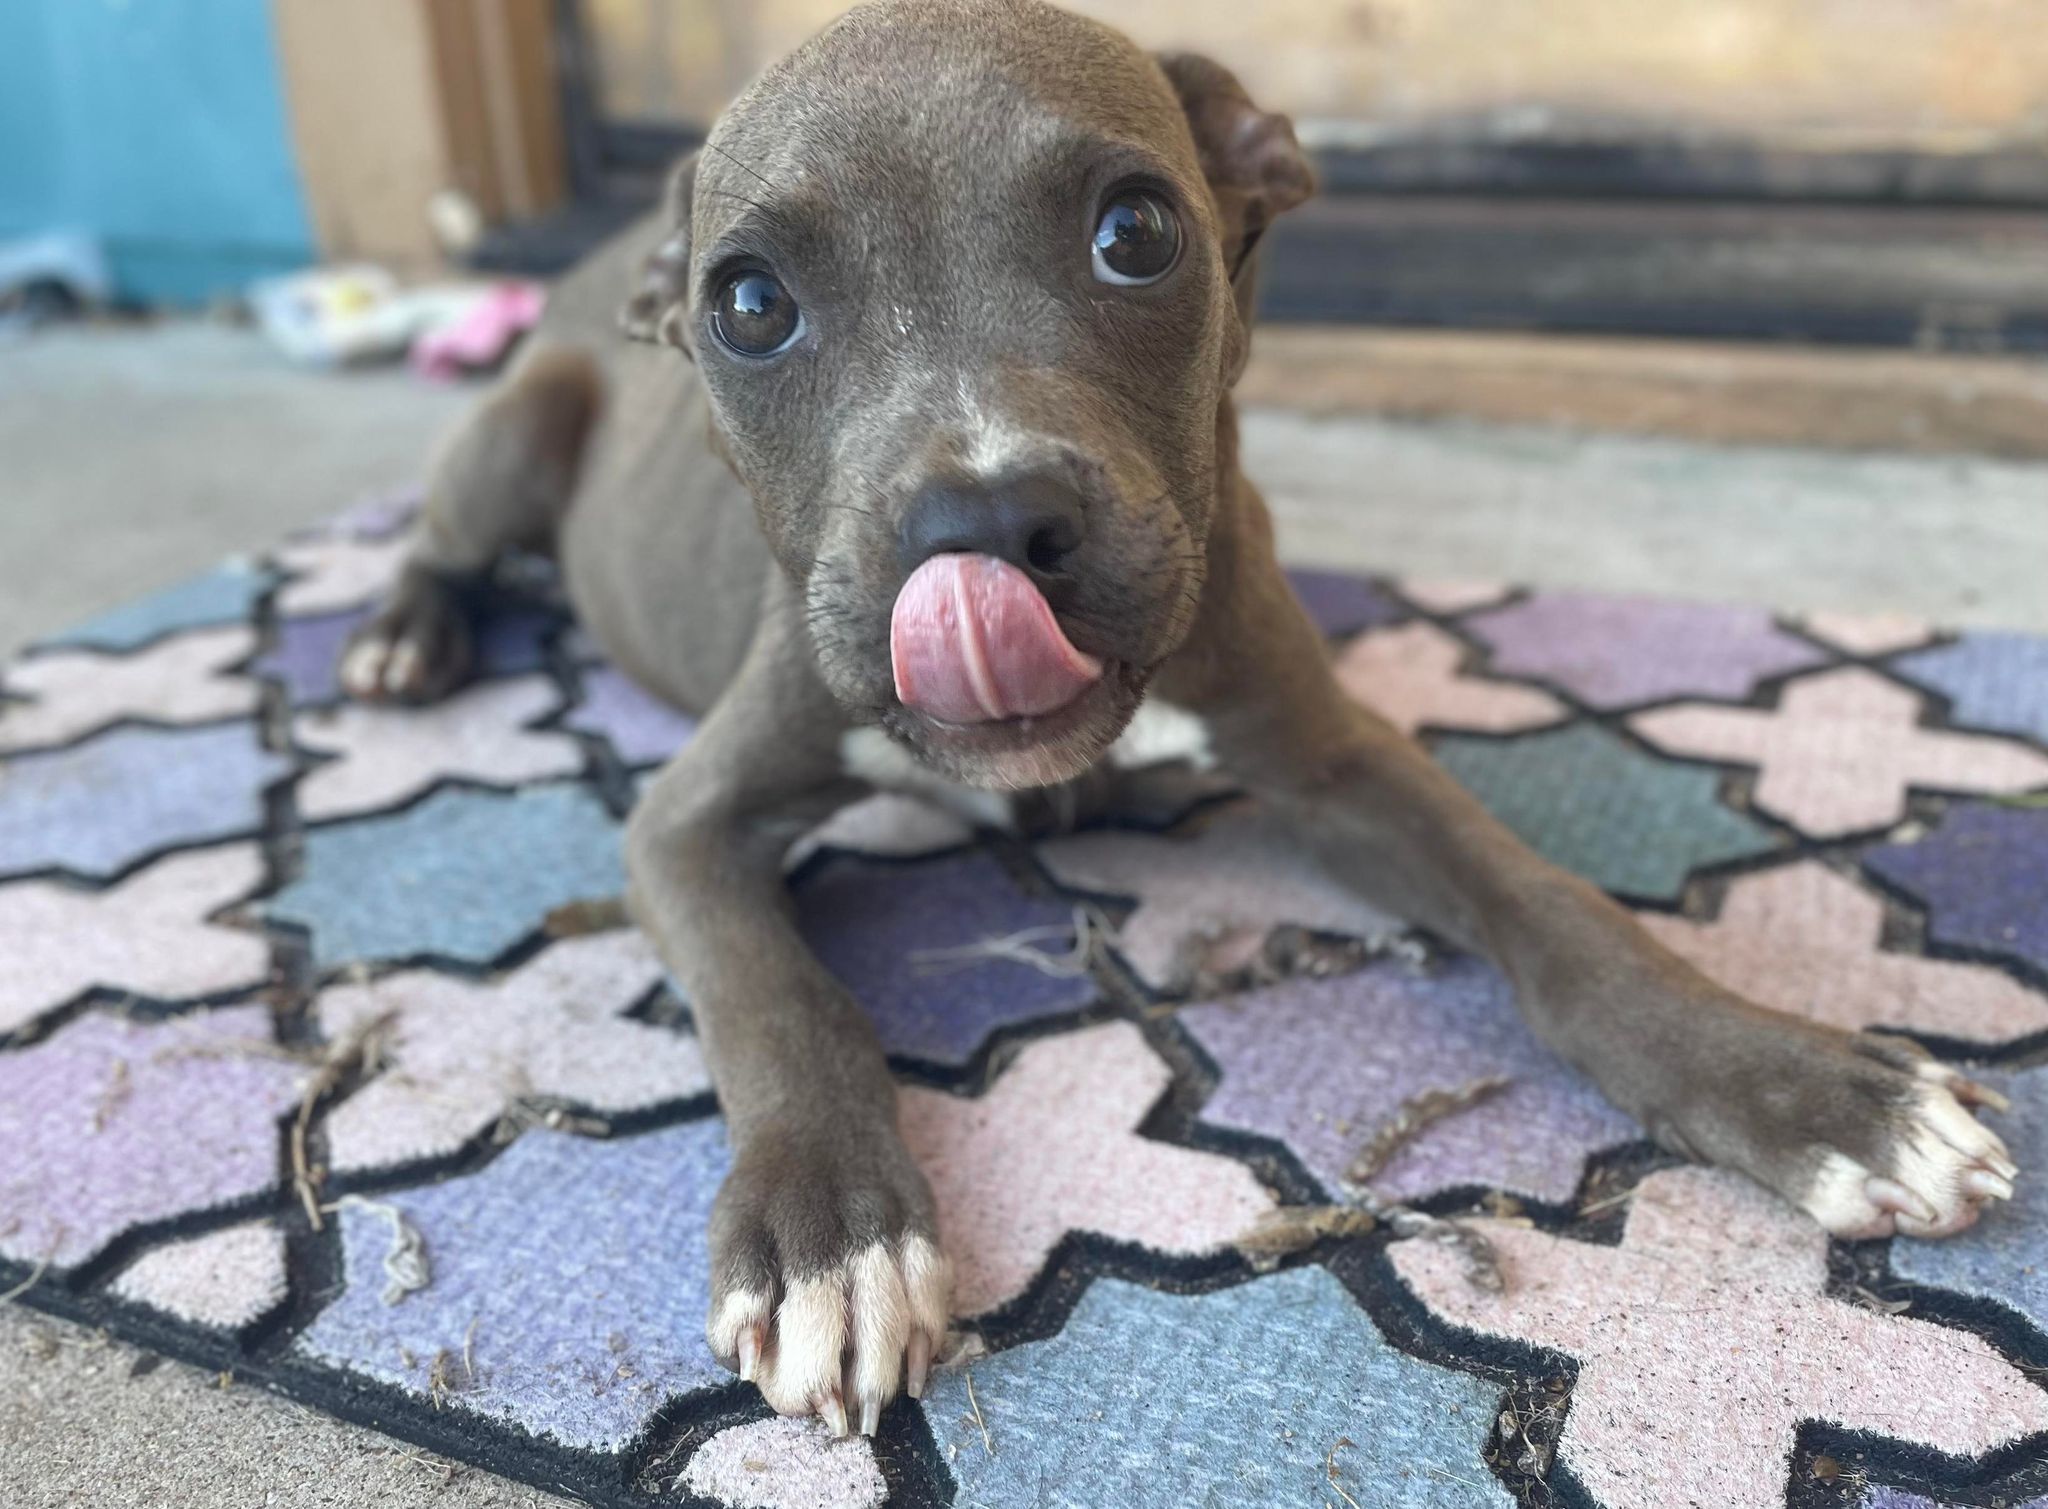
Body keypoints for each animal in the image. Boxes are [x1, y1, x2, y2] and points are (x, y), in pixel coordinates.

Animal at [335, 0, 2015, 1433]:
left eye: (1136, 232)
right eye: (750, 304)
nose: (979, 526)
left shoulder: (1343, 761)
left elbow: (1551, 907)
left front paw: (1815, 1093)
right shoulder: (686, 823)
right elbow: (774, 993)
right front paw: (831, 1235)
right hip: (516, 426)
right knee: (441, 530)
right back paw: (403, 637)